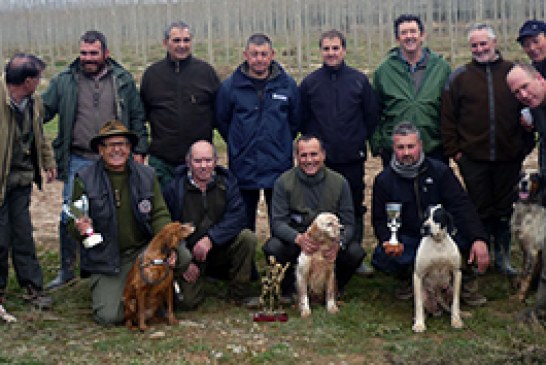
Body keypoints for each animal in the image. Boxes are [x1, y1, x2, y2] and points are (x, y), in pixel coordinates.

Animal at [410, 203, 462, 332]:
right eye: (425, 216)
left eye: (437, 217)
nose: (425, 227)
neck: (438, 243)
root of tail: (437, 301)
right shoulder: (418, 275)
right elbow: (418, 304)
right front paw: (419, 324)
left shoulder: (457, 273)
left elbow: (456, 302)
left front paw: (456, 320)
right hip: (425, 295)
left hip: (449, 289)